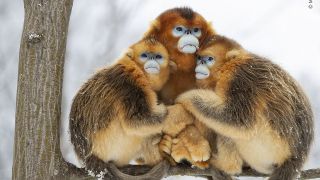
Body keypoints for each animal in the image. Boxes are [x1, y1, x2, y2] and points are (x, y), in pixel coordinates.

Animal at [171, 34, 314, 179]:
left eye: (209, 59)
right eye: (199, 58)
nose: (199, 64)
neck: (229, 66)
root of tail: (296, 158)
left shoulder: (239, 78)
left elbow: (238, 120)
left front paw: (184, 97)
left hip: (267, 148)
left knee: (229, 130)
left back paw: (226, 166)